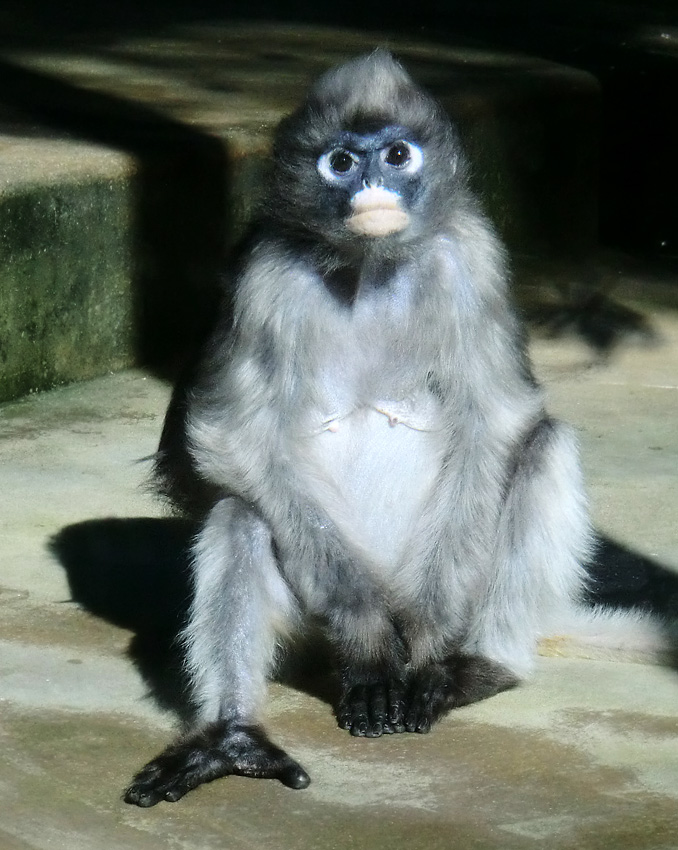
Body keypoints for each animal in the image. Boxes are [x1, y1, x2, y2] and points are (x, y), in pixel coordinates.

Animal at [123, 49, 668, 804]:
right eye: (340, 162)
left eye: (398, 154)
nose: (372, 183)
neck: (370, 266)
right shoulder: (263, 273)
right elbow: (228, 438)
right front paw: (370, 648)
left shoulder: (473, 254)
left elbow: (497, 421)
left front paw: (430, 651)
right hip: (309, 621)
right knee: (241, 516)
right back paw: (233, 739)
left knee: (542, 444)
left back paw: (480, 664)